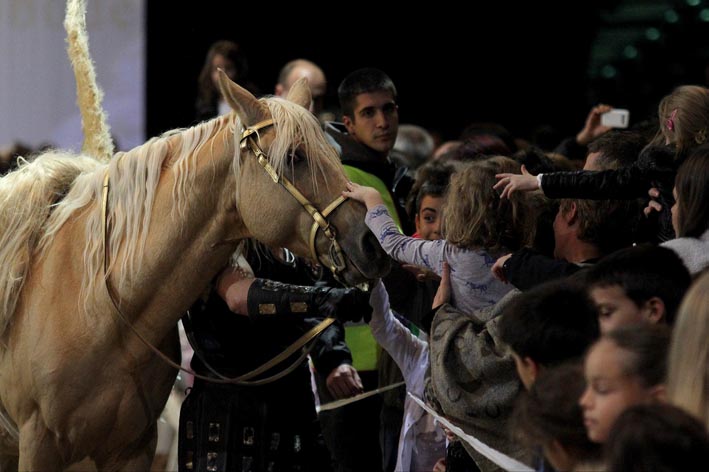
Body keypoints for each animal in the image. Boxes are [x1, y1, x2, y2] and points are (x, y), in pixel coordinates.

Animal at [0, 18, 389, 472]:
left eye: (333, 153)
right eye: (294, 156)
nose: (372, 243)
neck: (97, 307)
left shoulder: (133, 450)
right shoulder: (39, 446)